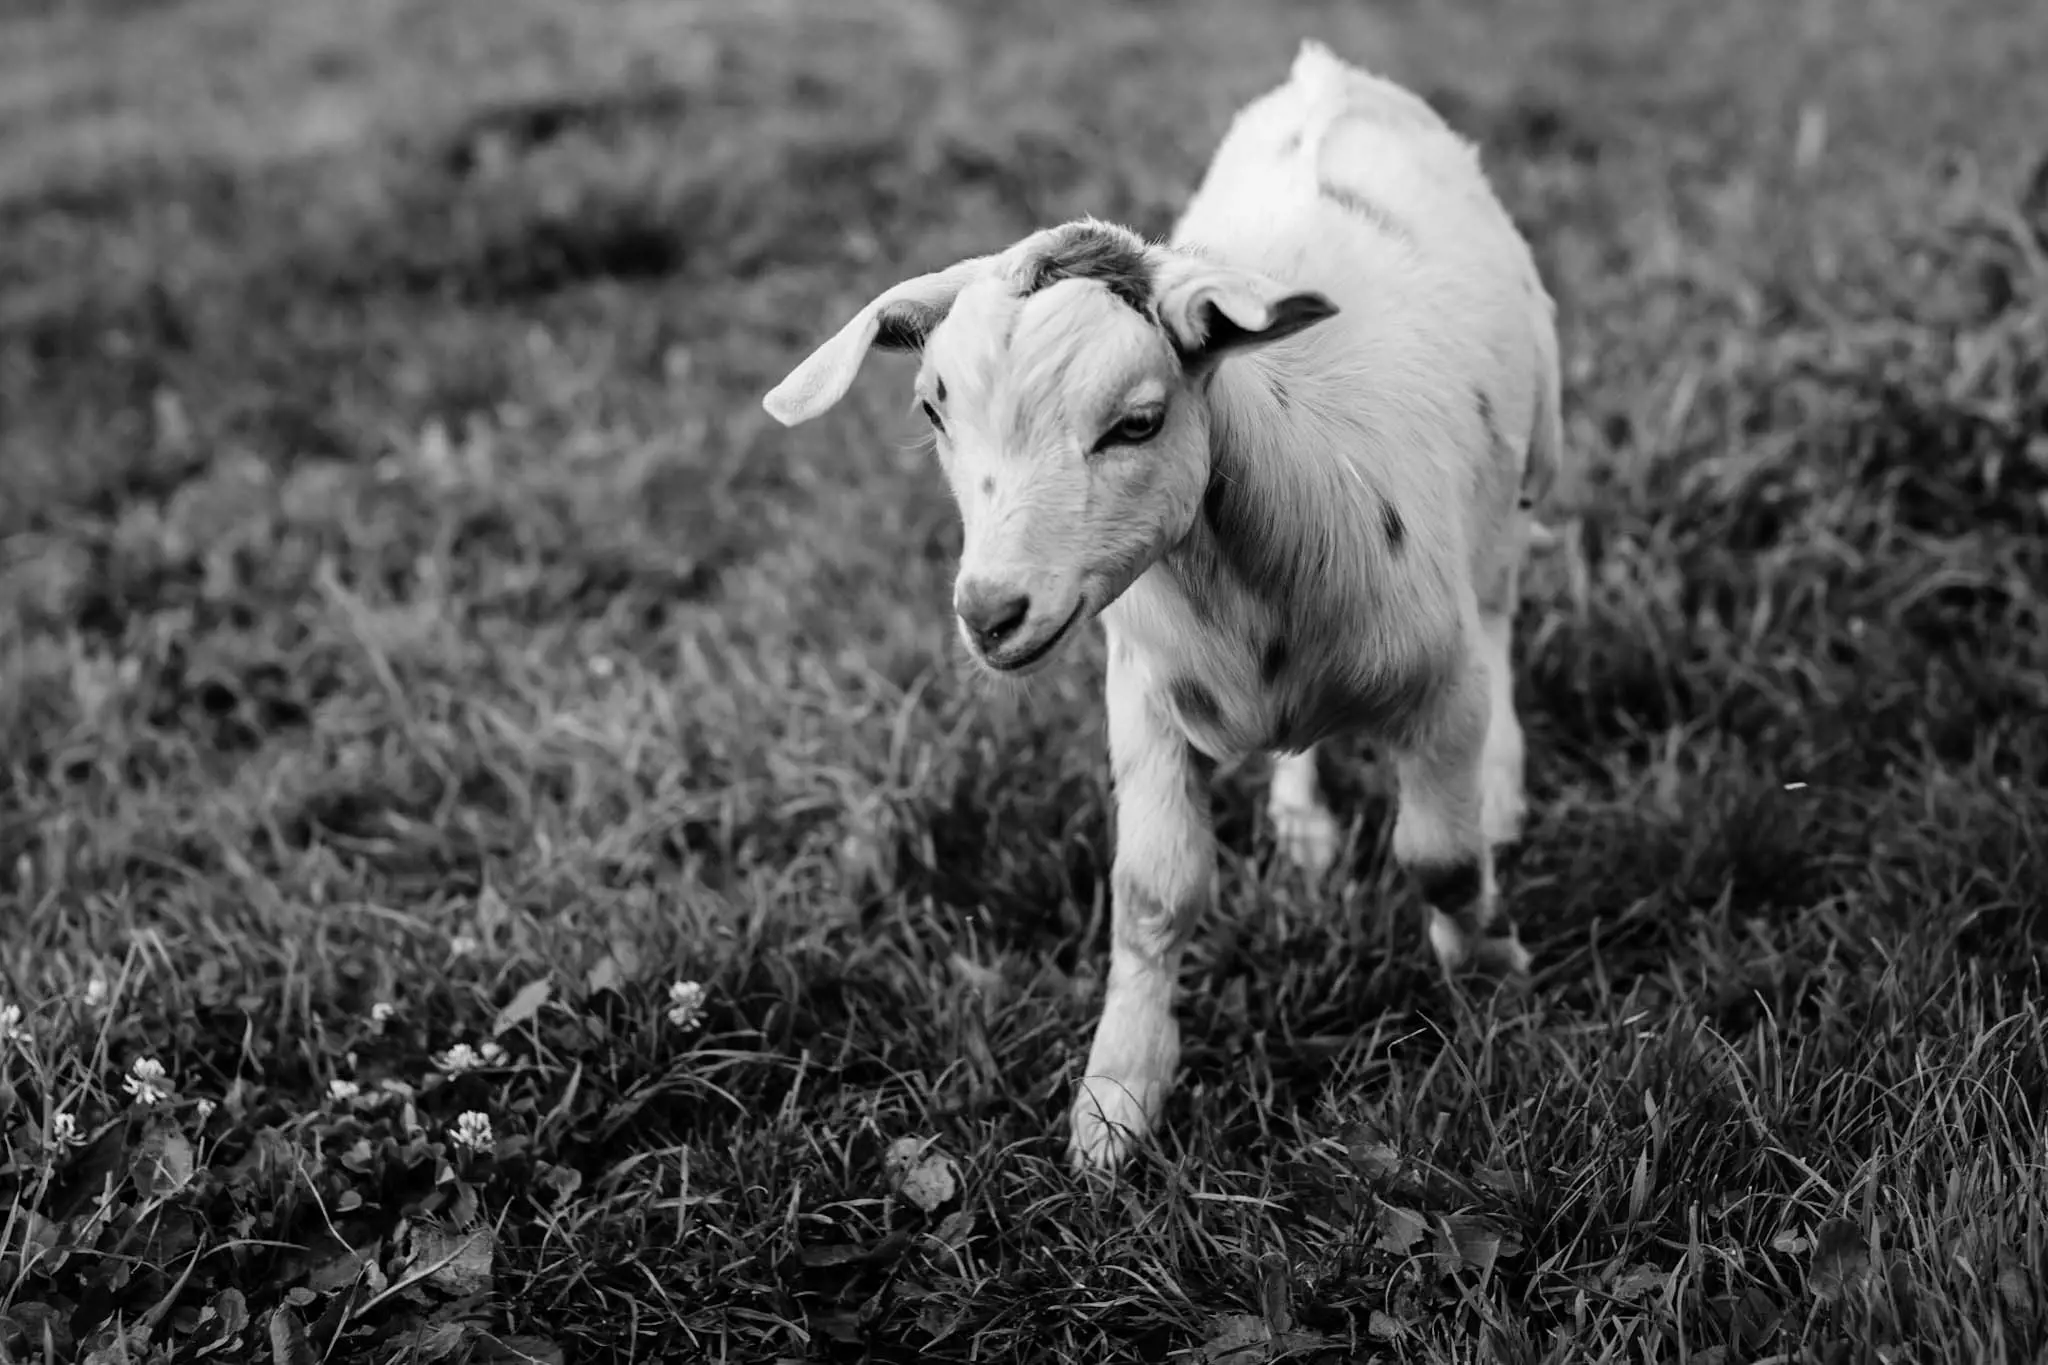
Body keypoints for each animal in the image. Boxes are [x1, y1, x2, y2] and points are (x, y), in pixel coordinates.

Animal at [760, 39, 1565, 1169]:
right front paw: (1115, 1105)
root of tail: (1326, 72)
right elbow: (1152, 891)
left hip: (1530, 462)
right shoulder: (1140, 695)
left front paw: (1494, 985)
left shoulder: (1437, 681)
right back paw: (1302, 827)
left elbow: (1442, 860)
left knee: (1501, 609)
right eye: (932, 409)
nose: (991, 612)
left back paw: (1499, 791)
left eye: (1137, 422)